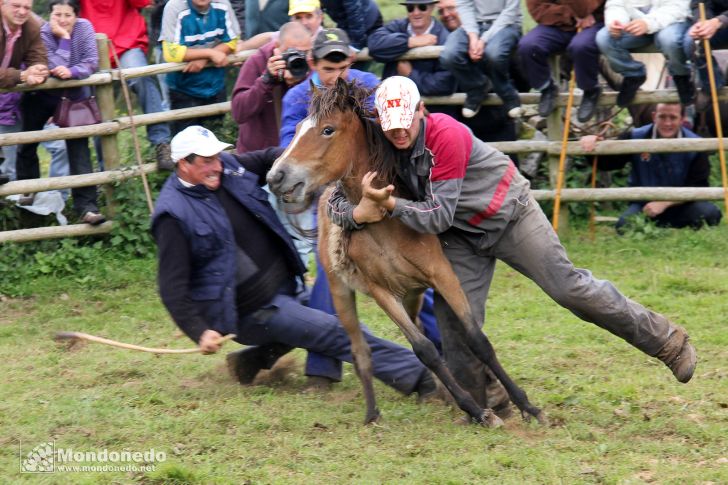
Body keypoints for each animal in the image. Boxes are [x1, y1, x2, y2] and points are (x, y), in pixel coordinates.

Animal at [264, 79, 544, 428]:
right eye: (300, 126)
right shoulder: (382, 292)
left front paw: (526, 405)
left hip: (413, 294)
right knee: (361, 351)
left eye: (327, 129)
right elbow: (424, 349)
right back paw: (373, 414)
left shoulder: (441, 275)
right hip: (342, 292)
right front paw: (477, 410)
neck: (386, 226)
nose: (276, 176)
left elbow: (476, 338)